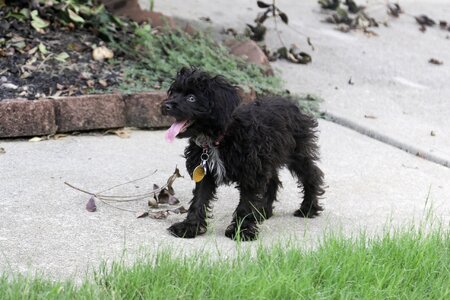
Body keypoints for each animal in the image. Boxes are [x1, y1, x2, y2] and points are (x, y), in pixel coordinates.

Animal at [162, 68, 324, 241]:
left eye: (191, 98)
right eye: (173, 93)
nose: (166, 105)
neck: (219, 138)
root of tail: (291, 103)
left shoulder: (251, 173)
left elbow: (246, 203)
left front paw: (242, 231)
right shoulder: (205, 172)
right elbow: (199, 200)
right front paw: (189, 227)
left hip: (296, 153)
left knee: (312, 175)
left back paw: (308, 208)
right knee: (273, 181)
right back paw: (263, 211)